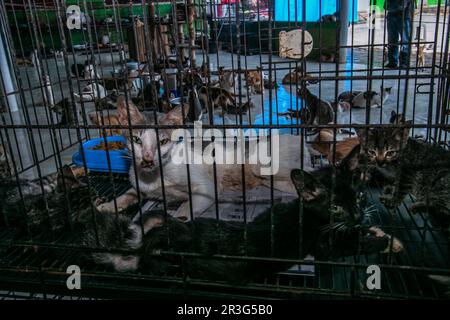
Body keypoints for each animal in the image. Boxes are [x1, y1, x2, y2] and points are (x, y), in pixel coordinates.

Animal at [96, 95, 312, 220]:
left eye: (163, 141)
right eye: (136, 140)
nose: (148, 159)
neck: (154, 178)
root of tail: (298, 138)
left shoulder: (207, 187)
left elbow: (187, 206)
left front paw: (179, 220)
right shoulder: (140, 186)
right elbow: (128, 194)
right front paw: (108, 206)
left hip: (261, 166)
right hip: (273, 181)